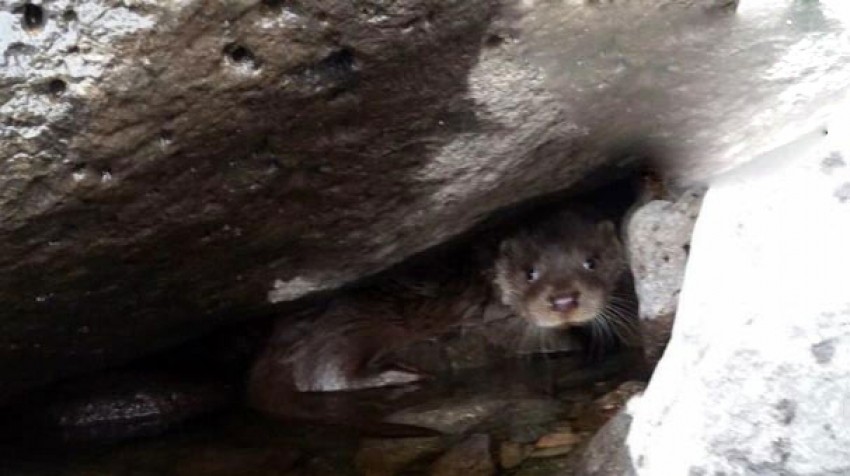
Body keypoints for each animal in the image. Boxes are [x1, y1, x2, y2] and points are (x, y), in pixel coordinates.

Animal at [248, 207, 632, 420]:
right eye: (530, 273)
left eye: (592, 261)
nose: (564, 300)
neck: (486, 284)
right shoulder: (493, 320)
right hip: (350, 326)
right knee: (329, 374)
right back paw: (403, 374)